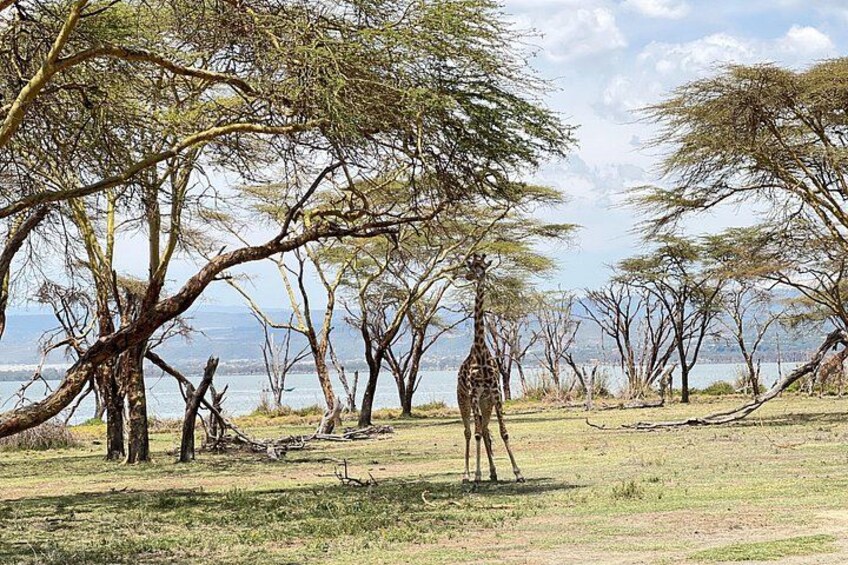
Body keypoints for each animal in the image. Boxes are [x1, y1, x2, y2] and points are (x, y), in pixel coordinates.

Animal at [457, 253, 524, 483]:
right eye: (471, 266)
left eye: (482, 266)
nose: (472, 276)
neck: (480, 350)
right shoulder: (474, 393)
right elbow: (476, 433)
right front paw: (477, 475)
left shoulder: (495, 393)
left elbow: (503, 431)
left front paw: (518, 473)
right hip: (464, 400)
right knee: (470, 432)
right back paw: (467, 475)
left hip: (485, 404)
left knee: (485, 429)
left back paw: (493, 473)